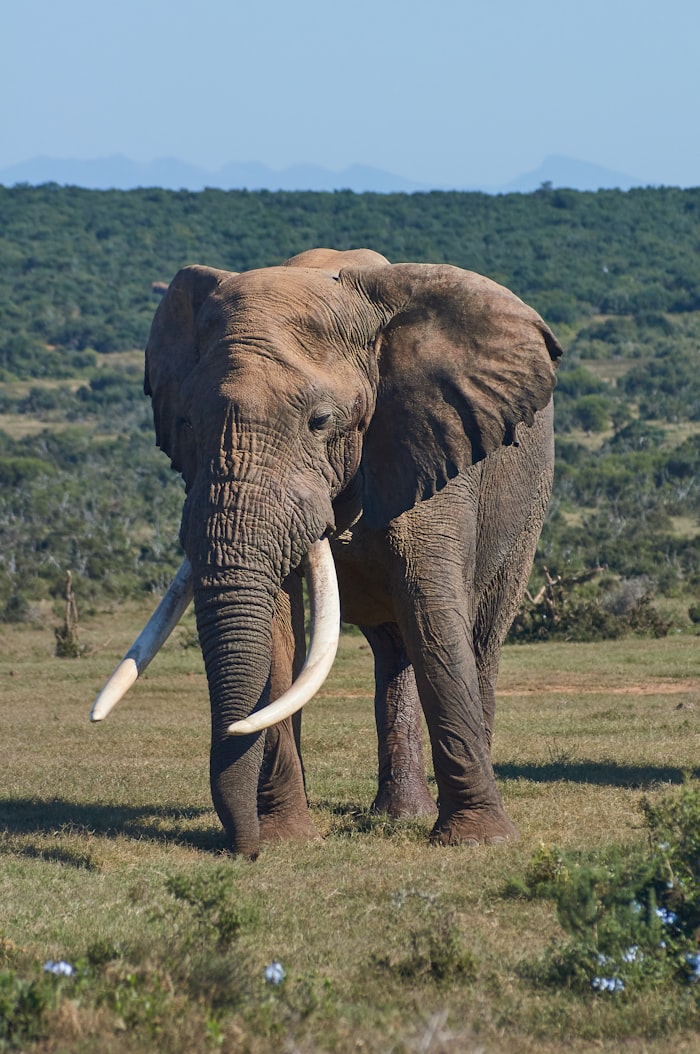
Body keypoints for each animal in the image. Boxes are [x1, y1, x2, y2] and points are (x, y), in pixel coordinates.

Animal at [91, 247, 562, 858]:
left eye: (320, 422)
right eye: (187, 423)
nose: (244, 850)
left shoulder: (432, 449)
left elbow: (434, 616)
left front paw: (478, 843)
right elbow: (277, 629)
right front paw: (286, 839)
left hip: (526, 508)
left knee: (479, 634)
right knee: (393, 649)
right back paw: (399, 815)